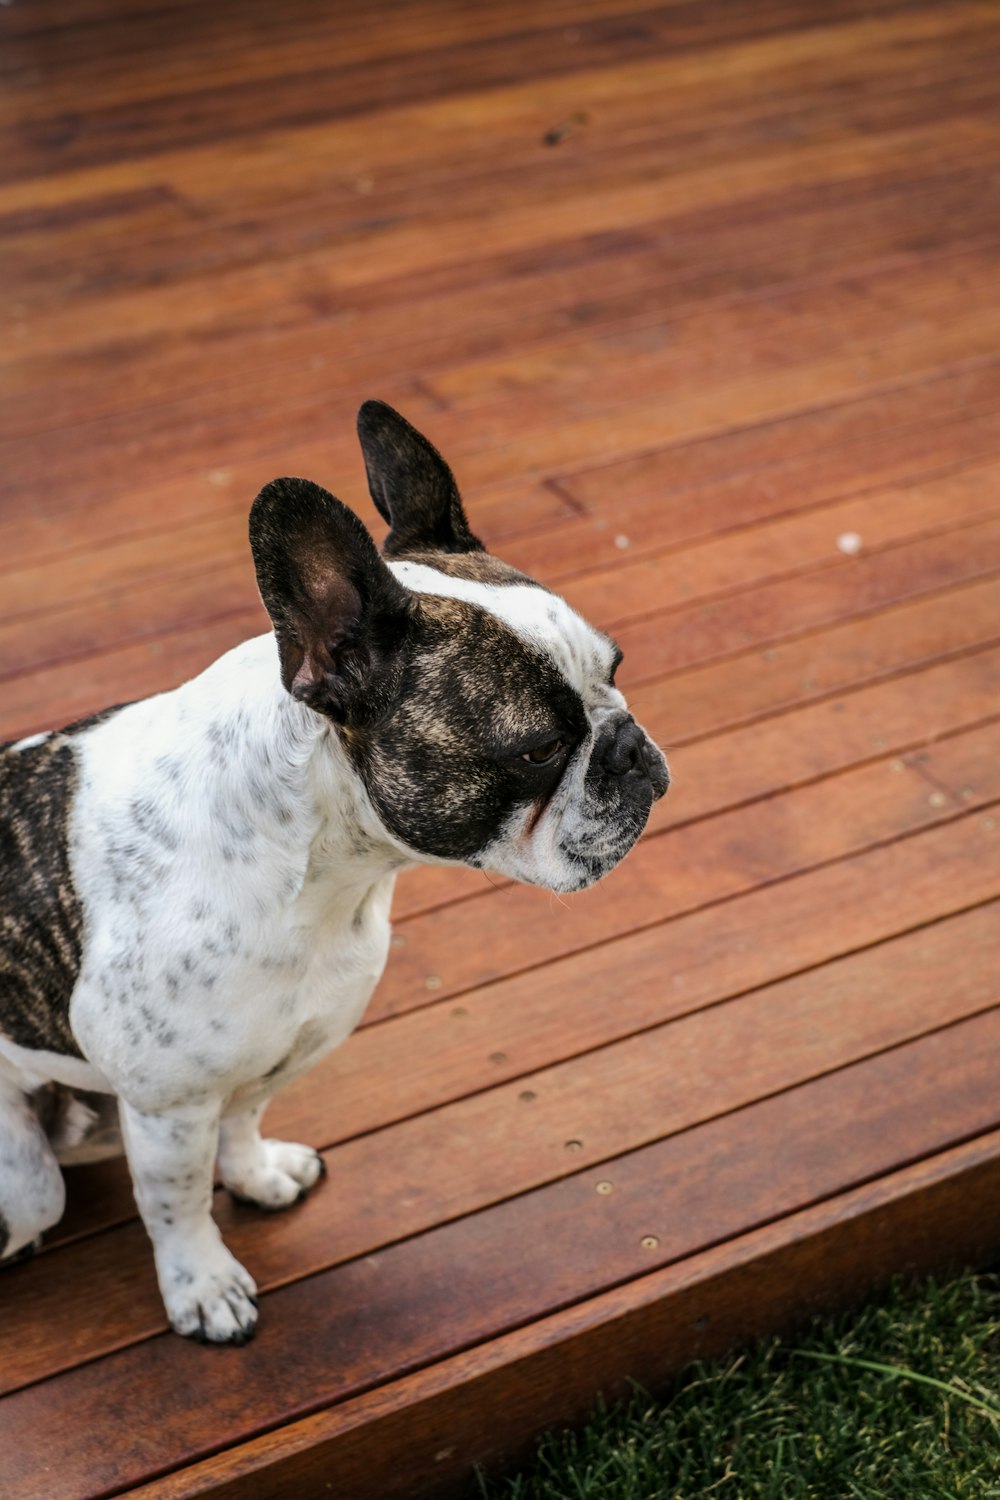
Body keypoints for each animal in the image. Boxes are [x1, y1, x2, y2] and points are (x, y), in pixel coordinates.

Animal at [1, 402, 671, 1350]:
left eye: (616, 672)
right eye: (538, 750)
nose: (631, 748)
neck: (318, 871)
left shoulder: (281, 1048)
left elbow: (242, 1123)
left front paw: (255, 1175)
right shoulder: (169, 1107)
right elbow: (175, 1204)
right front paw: (202, 1285)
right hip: (24, 1175)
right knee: (36, 1199)